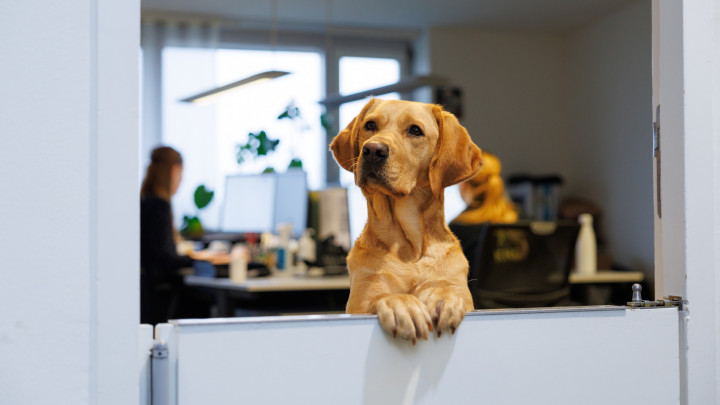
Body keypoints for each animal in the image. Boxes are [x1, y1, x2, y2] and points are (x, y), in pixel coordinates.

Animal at [332, 99, 484, 342]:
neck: (409, 246)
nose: (373, 150)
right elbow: (380, 296)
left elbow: (448, 289)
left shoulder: (461, 290)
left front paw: (443, 298)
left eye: (415, 130)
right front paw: (401, 303)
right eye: (370, 125)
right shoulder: (362, 297)